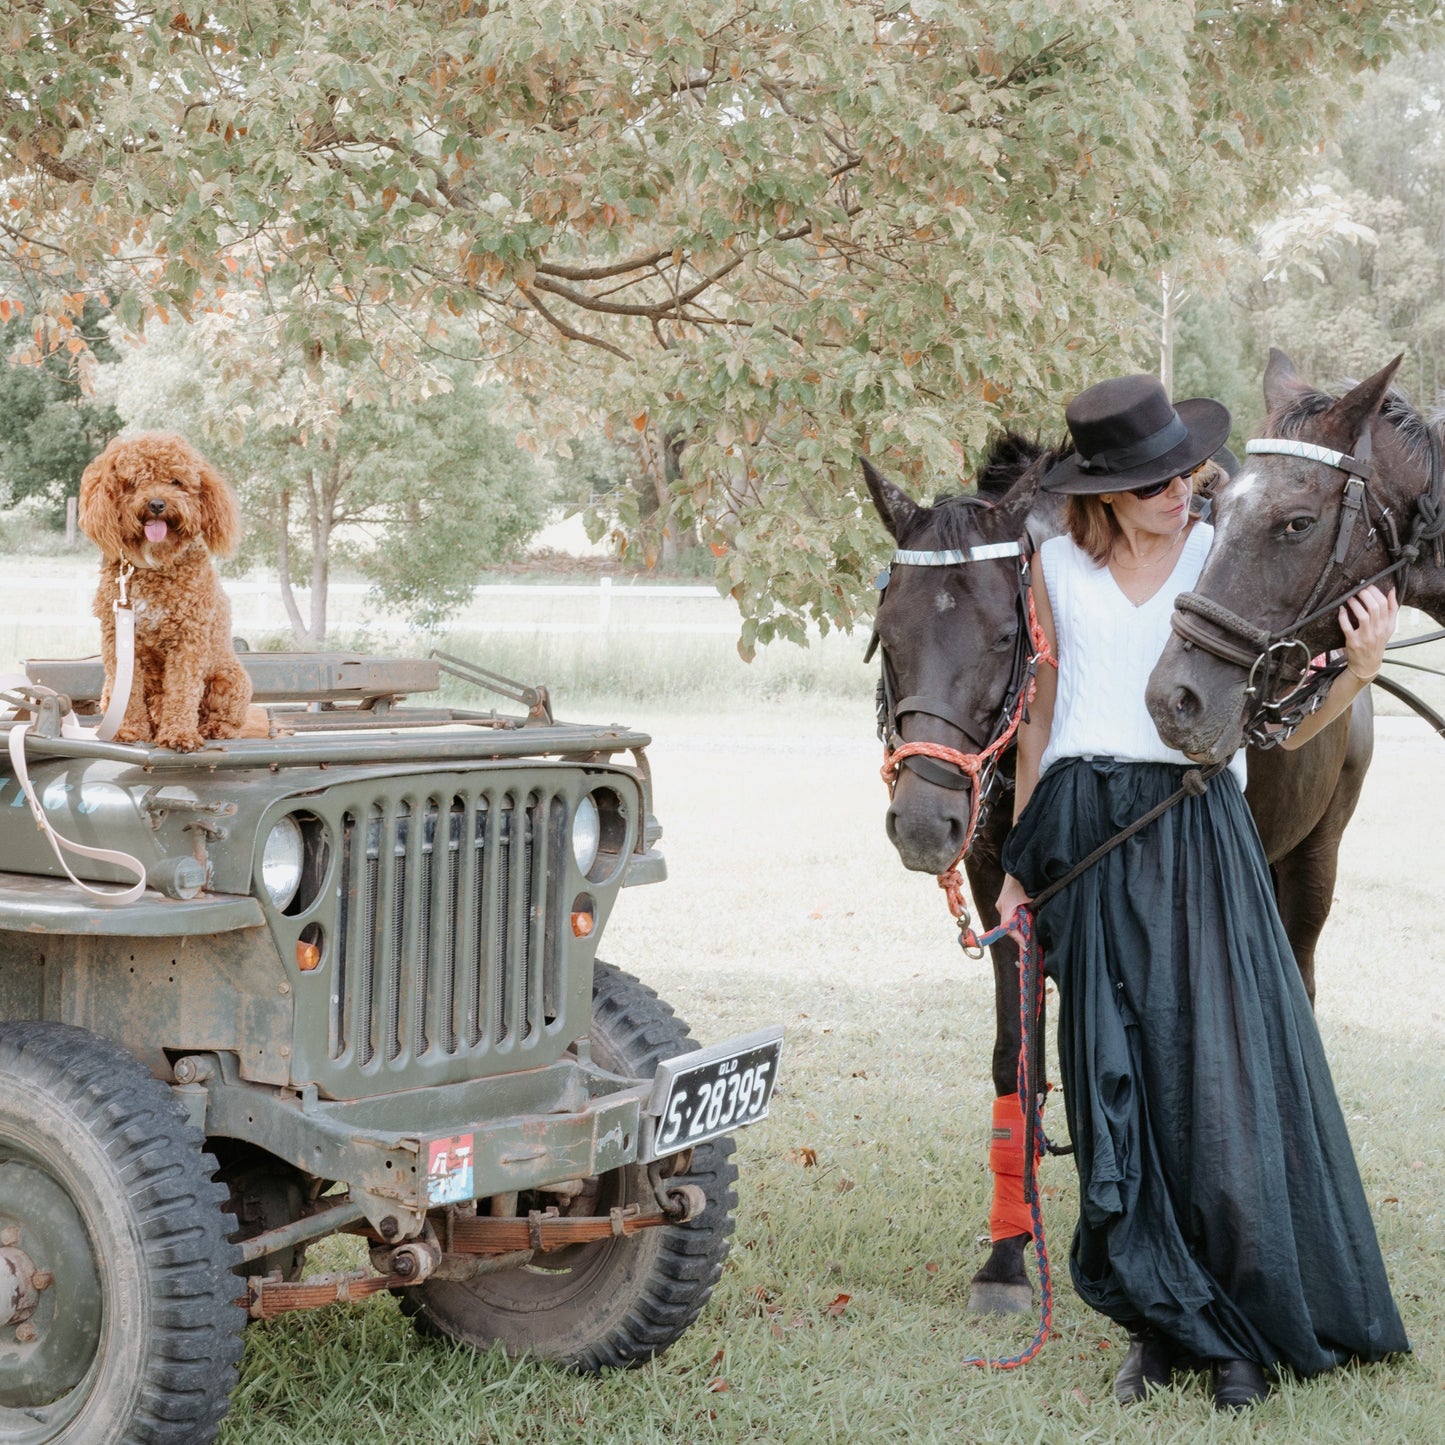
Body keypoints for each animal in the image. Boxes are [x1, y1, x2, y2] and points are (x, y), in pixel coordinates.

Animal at [77, 430, 252, 751]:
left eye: (176, 481)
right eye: (134, 482)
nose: (157, 504)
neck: (152, 564)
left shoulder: (188, 639)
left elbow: (182, 690)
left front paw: (180, 734)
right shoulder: (118, 638)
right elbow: (130, 694)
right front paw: (129, 730)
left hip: (229, 679)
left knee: (227, 720)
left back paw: (211, 728)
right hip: (109, 689)